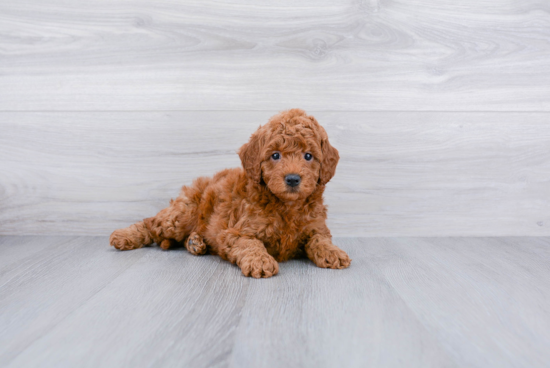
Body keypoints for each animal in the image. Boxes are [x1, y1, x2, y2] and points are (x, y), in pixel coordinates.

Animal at [111, 108, 354, 278]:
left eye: (308, 156)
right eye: (275, 155)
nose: (293, 179)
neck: (287, 206)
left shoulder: (316, 227)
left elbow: (320, 240)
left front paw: (333, 252)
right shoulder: (235, 232)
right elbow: (251, 244)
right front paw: (260, 261)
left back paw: (195, 242)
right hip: (182, 214)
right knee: (151, 223)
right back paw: (124, 236)